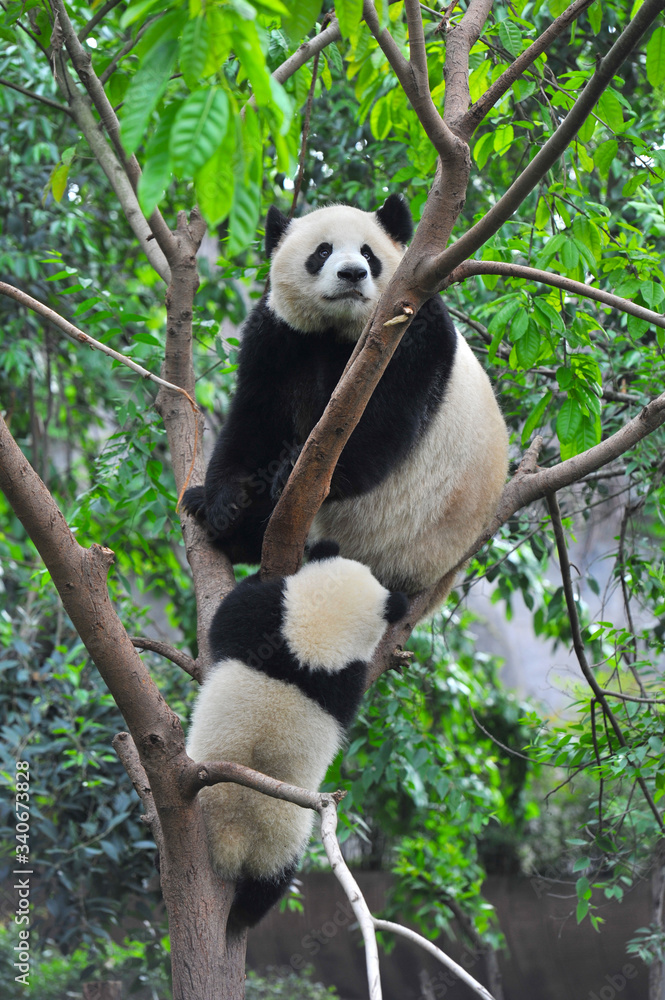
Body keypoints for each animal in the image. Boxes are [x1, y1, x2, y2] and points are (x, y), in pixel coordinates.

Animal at [183, 195, 509, 611]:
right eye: (323, 251)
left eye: (369, 254)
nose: (353, 273)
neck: (338, 330)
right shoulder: (279, 335)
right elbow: (255, 422)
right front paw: (224, 505)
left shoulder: (413, 333)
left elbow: (376, 431)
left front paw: (289, 469)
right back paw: (204, 508)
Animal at [185, 540, 408, 928]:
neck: (317, 643)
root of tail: (234, 844)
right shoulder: (343, 679)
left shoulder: (270, 620)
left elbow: (229, 615)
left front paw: (252, 576)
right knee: (270, 884)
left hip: (284, 834)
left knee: (273, 881)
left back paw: (241, 918)